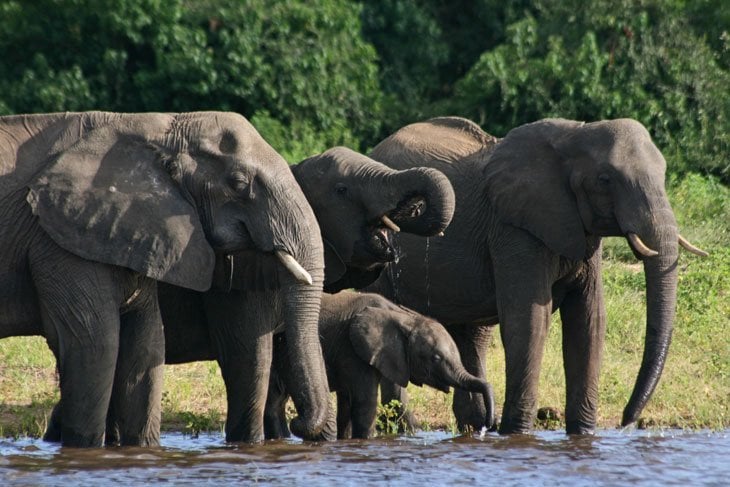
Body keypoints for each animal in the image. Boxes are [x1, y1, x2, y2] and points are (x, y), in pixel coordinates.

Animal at [0, 110, 330, 446]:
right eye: (238, 184)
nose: (300, 423)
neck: (158, 128)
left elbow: (146, 345)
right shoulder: (60, 240)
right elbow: (96, 345)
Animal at [264, 290, 492, 442]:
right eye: (435, 358)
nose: (487, 426)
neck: (405, 317)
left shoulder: (392, 355)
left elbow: (350, 403)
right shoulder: (353, 350)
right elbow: (365, 402)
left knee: (275, 399)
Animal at [364, 117, 704, 434]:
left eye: (663, 174)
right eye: (605, 179)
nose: (626, 421)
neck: (576, 133)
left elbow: (588, 320)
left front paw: (582, 434)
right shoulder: (514, 230)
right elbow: (529, 320)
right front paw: (516, 433)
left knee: (473, 335)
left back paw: (476, 426)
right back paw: (406, 427)